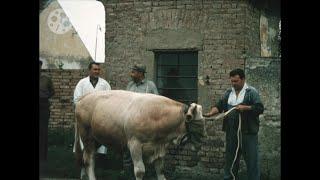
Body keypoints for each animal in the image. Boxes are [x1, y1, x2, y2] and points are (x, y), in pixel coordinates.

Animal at [74, 90, 204, 180]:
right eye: (196, 123)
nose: (201, 142)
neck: (156, 115)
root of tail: (83, 98)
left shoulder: (159, 147)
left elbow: (160, 170)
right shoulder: (134, 144)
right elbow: (140, 171)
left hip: (97, 139)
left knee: (85, 158)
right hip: (87, 136)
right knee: (89, 160)